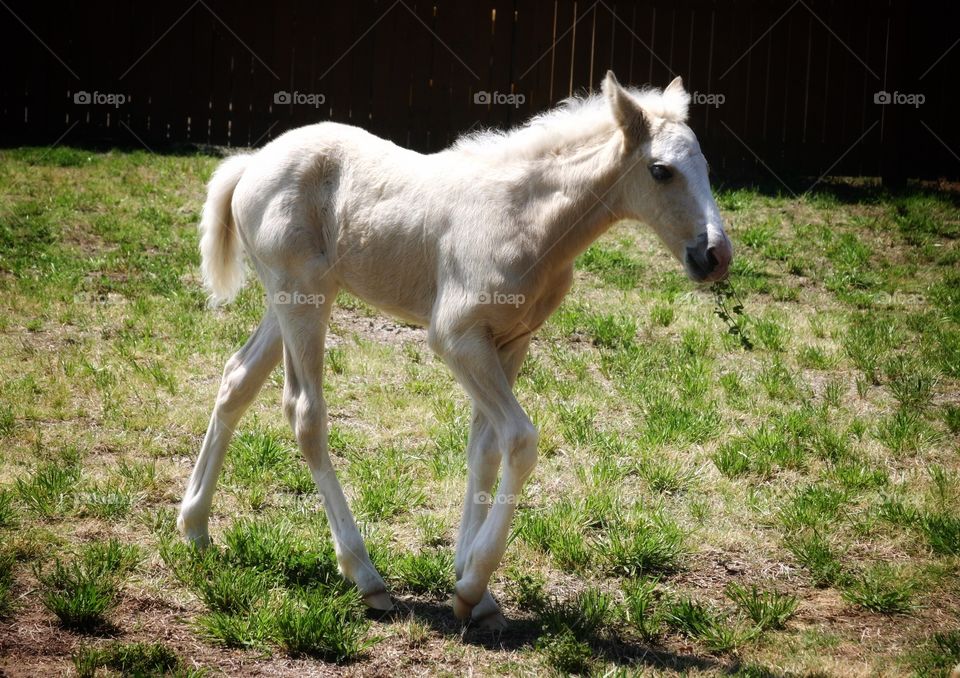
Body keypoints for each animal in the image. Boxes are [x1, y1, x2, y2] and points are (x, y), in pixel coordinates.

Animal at [180, 71, 732, 628]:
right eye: (661, 171)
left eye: (707, 167)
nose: (716, 255)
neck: (528, 219)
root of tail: (253, 162)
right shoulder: (456, 338)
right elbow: (521, 441)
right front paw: (472, 583)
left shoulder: (510, 341)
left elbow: (484, 448)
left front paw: (475, 594)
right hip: (303, 298)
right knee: (304, 412)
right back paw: (364, 574)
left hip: (290, 300)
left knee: (237, 380)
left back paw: (195, 527)